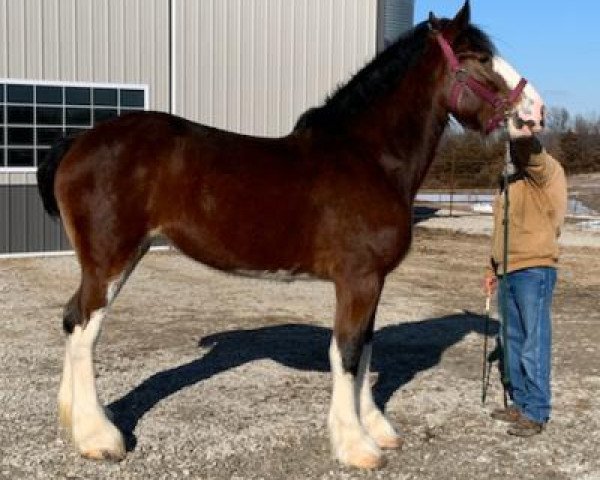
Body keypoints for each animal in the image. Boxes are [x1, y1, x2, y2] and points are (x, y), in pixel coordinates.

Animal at [37, 2, 544, 468]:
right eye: (480, 57)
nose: (535, 112)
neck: (369, 158)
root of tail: (77, 141)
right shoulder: (357, 280)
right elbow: (347, 352)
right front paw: (356, 446)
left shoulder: (373, 281)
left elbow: (366, 348)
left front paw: (377, 430)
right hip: (111, 259)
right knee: (84, 328)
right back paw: (98, 437)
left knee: (70, 318)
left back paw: (74, 422)